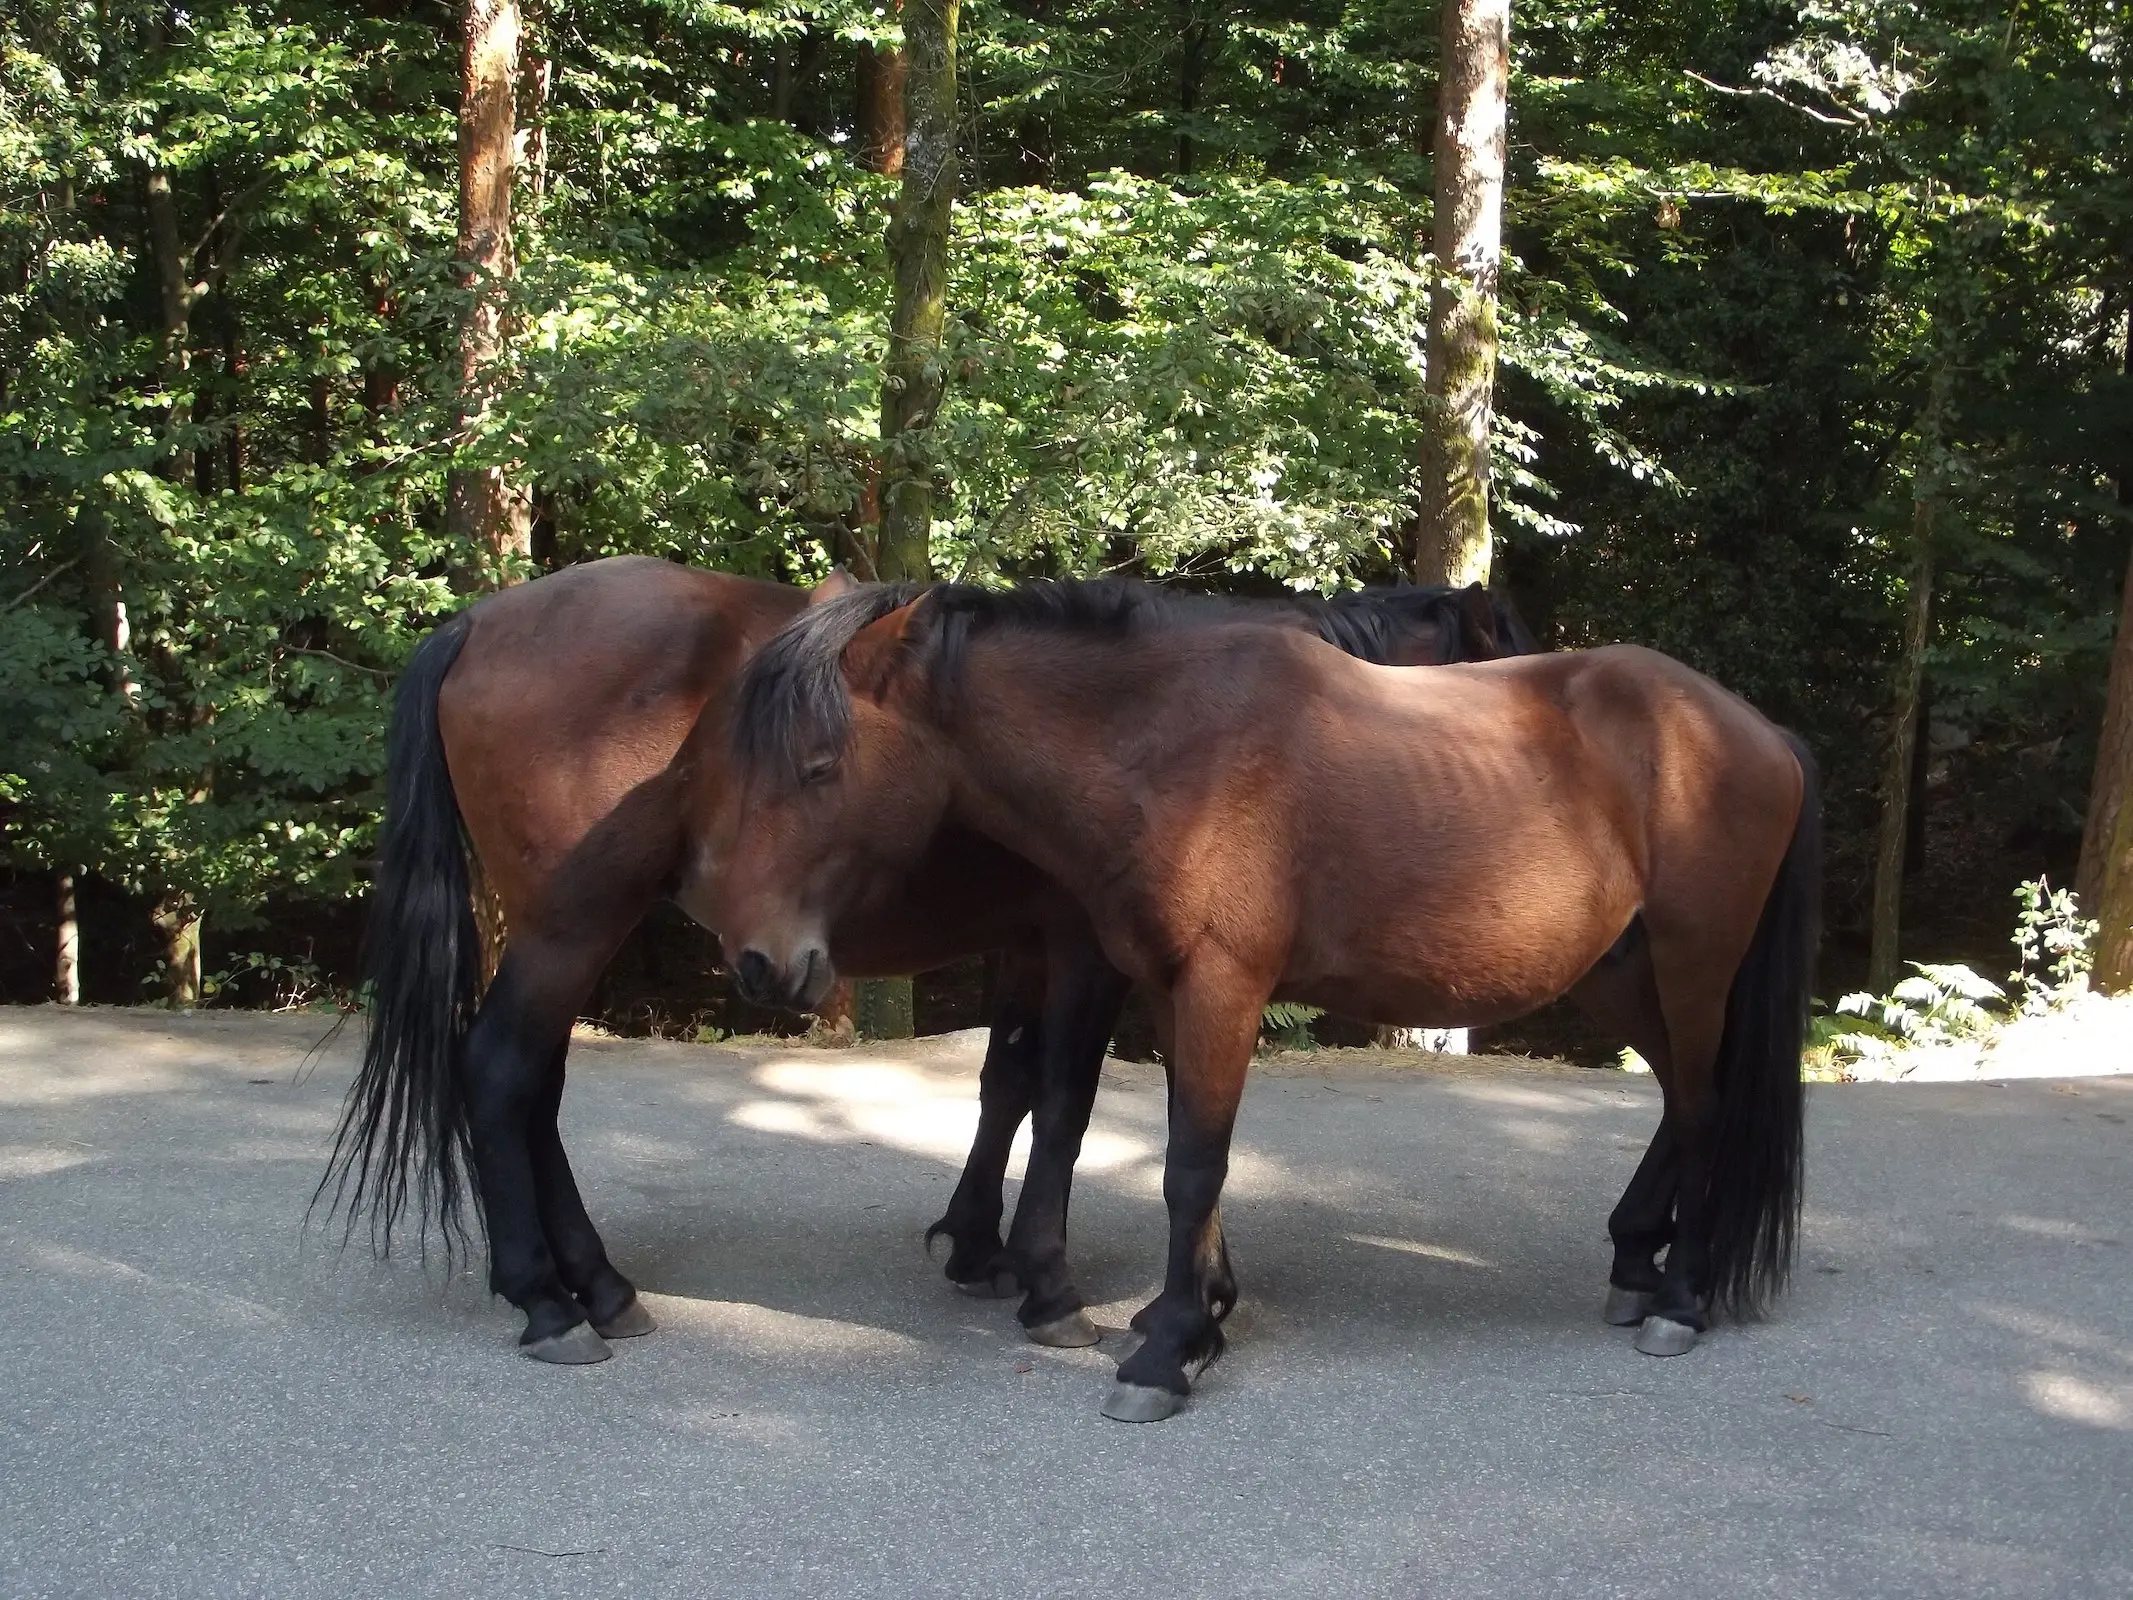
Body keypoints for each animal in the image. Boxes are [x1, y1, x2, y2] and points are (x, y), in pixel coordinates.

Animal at [315, 554, 1535, 1365]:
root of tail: (481, 620)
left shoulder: (1036, 944)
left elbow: (1009, 1086)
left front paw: (981, 1245)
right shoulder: (1087, 948)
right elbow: (1069, 1100)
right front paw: (1054, 1282)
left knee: (533, 1087)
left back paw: (596, 1281)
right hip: (574, 921)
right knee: (501, 1073)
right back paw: (548, 1299)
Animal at [712, 584, 1817, 1425]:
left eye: (818, 767)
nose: (759, 959)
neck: (1172, 746)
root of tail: (1758, 731)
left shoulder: (1218, 985)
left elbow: (1187, 1165)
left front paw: (1162, 1353)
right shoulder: (1163, 987)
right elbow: (1164, 1149)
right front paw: (1193, 1316)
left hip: (1692, 965)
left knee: (1706, 1108)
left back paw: (1681, 1296)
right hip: (1622, 975)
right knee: (1678, 1098)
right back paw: (1639, 1264)